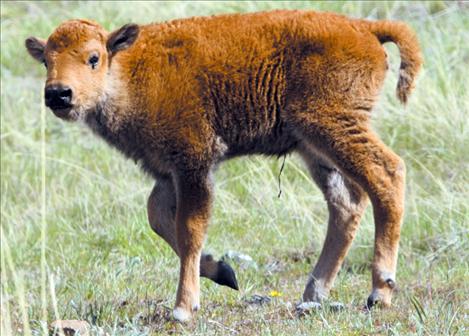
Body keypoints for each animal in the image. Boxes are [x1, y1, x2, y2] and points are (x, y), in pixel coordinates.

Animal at [25, 9, 420, 320]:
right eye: (46, 60)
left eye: (93, 58)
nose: (58, 94)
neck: (128, 70)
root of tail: (364, 28)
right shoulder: (167, 172)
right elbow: (158, 218)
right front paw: (222, 271)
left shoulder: (194, 163)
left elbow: (190, 229)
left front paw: (183, 308)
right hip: (314, 149)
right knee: (346, 203)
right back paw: (314, 293)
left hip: (332, 126)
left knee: (386, 175)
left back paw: (379, 291)